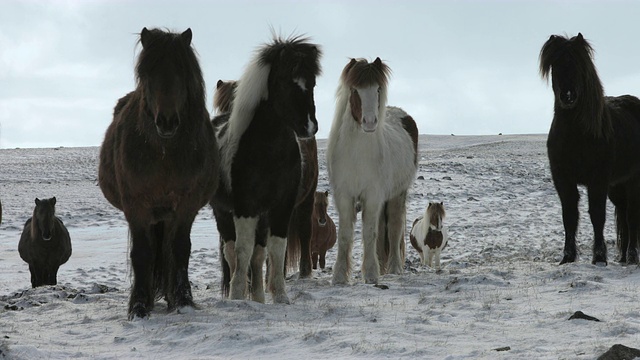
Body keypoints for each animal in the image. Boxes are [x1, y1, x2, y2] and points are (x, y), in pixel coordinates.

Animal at [98, 28, 220, 320]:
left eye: (182, 73)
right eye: (147, 75)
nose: (166, 121)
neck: (164, 153)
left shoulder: (186, 206)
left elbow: (180, 250)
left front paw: (183, 300)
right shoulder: (136, 206)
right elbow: (142, 253)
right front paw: (139, 307)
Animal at [210, 35, 320, 302]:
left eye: (312, 82)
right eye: (283, 82)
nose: (309, 127)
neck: (270, 153)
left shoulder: (282, 207)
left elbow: (276, 250)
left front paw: (280, 297)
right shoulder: (245, 207)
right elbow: (242, 251)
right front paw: (238, 295)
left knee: (259, 255)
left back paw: (259, 297)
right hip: (222, 212)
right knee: (231, 251)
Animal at [328, 58, 418, 284]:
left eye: (377, 89)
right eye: (355, 90)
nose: (369, 122)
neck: (358, 156)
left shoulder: (372, 196)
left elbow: (369, 233)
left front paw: (370, 274)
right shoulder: (344, 197)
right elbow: (345, 234)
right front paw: (339, 277)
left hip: (397, 195)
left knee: (394, 230)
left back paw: (394, 268)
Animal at [540, 33, 640, 264]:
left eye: (579, 65)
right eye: (556, 65)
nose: (568, 95)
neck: (576, 136)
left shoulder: (598, 179)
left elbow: (597, 215)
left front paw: (599, 257)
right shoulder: (563, 179)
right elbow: (569, 216)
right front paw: (568, 256)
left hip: (633, 180)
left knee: (632, 215)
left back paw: (632, 256)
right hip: (617, 186)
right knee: (623, 214)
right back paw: (622, 258)